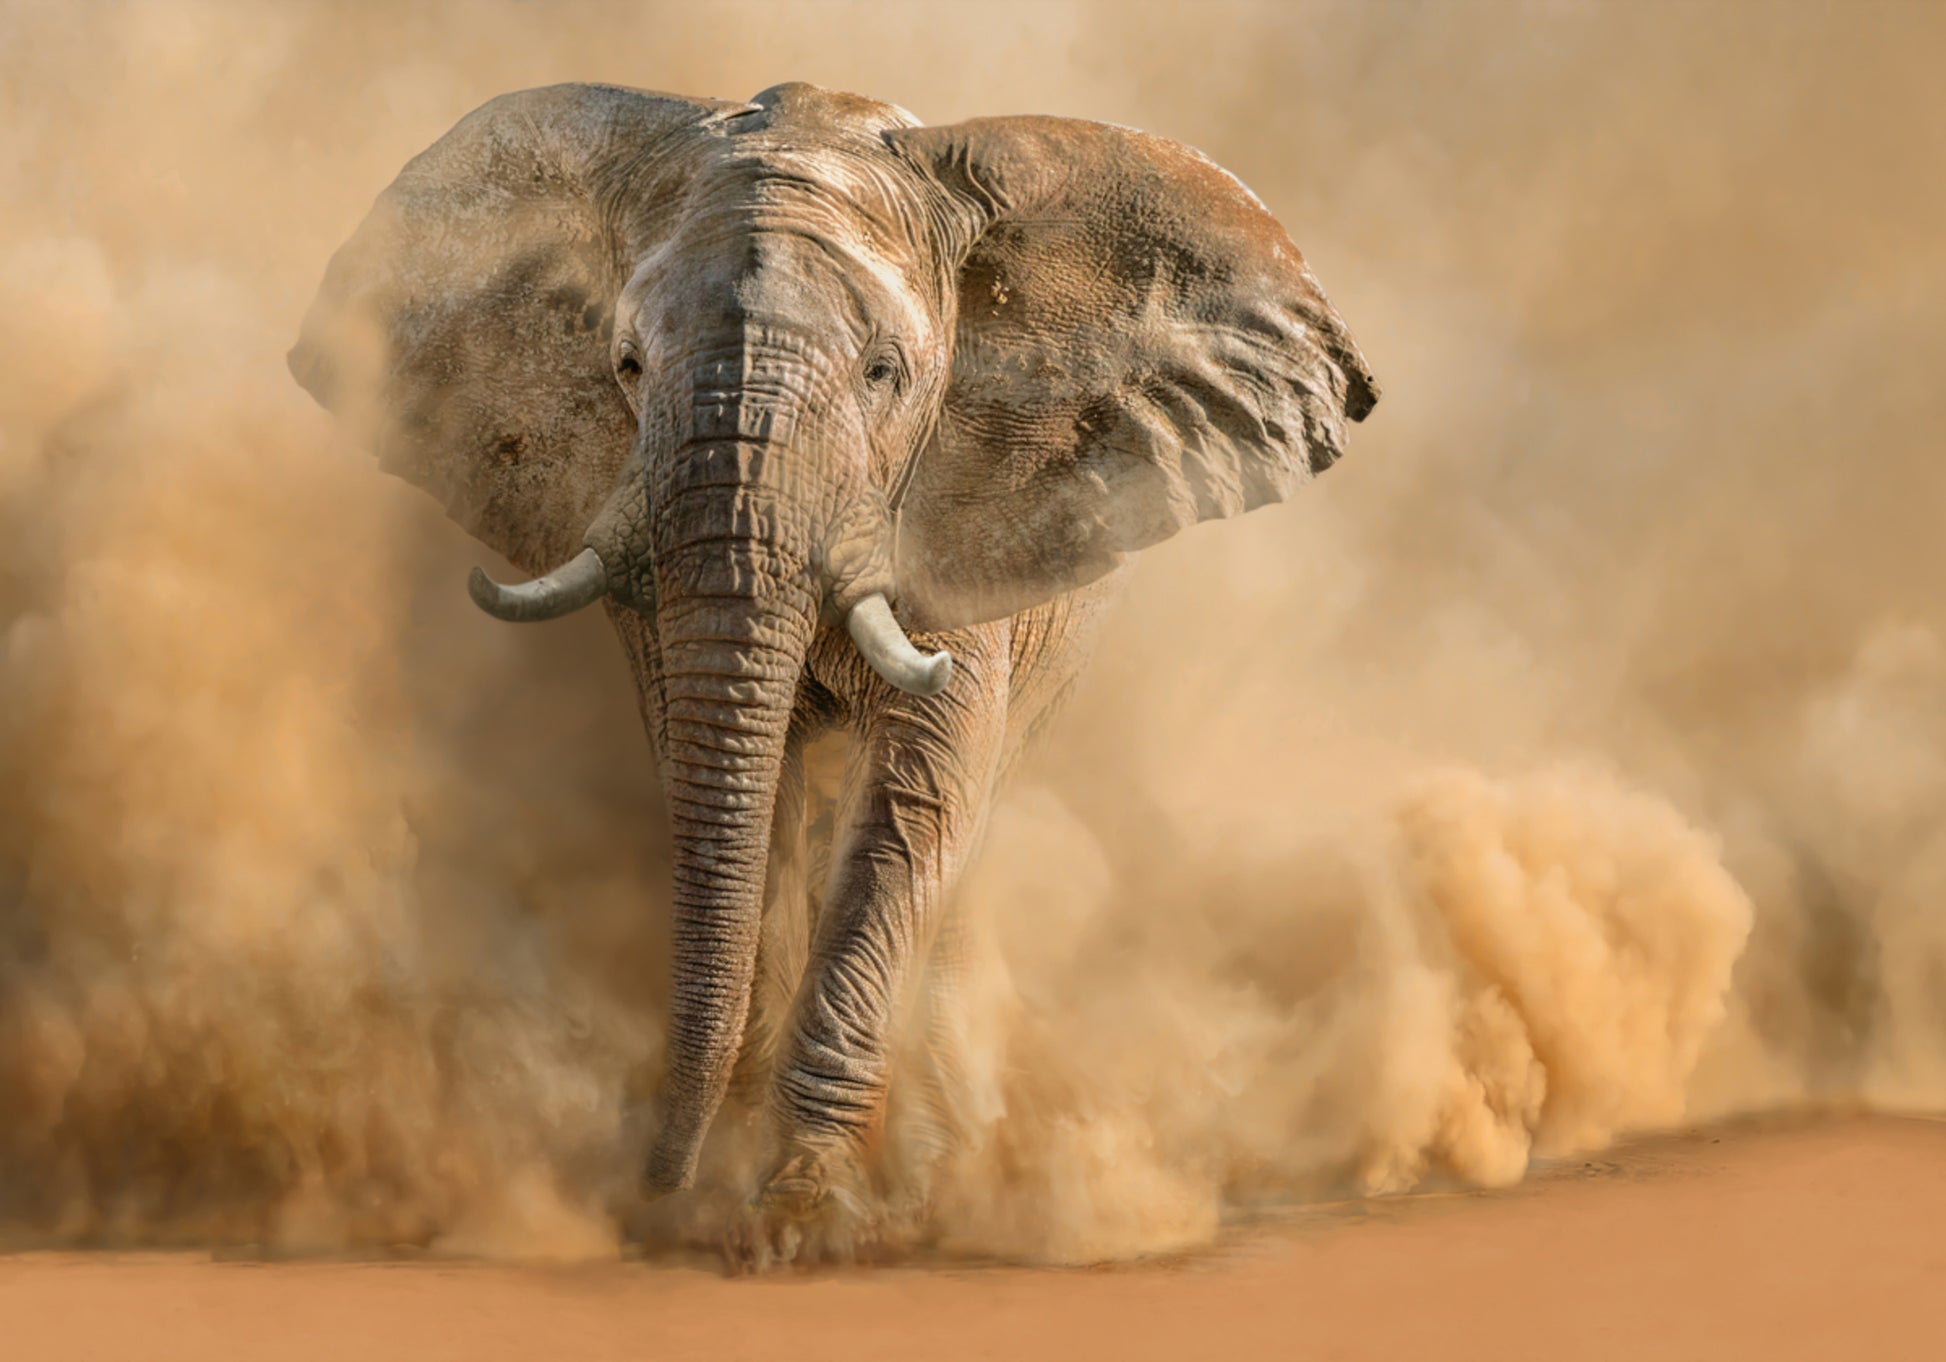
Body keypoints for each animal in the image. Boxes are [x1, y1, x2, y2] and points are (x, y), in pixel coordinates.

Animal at [288, 80, 1378, 1257]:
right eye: (626, 366)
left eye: (882, 374)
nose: (647, 1191)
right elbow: (737, 794)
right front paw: (728, 1195)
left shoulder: (951, 508)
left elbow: (913, 805)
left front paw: (797, 1221)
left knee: (964, 833)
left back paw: (938, 1182)